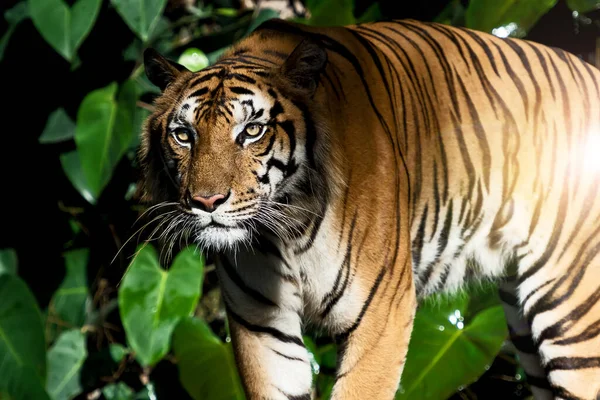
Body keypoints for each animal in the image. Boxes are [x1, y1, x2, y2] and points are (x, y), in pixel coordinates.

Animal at [138, 17, 600, 400]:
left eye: (252, 131)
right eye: (184, 135)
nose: (206, 202)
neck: (287, 228)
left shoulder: (382, 314)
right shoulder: (262, 325)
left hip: (575, 311)